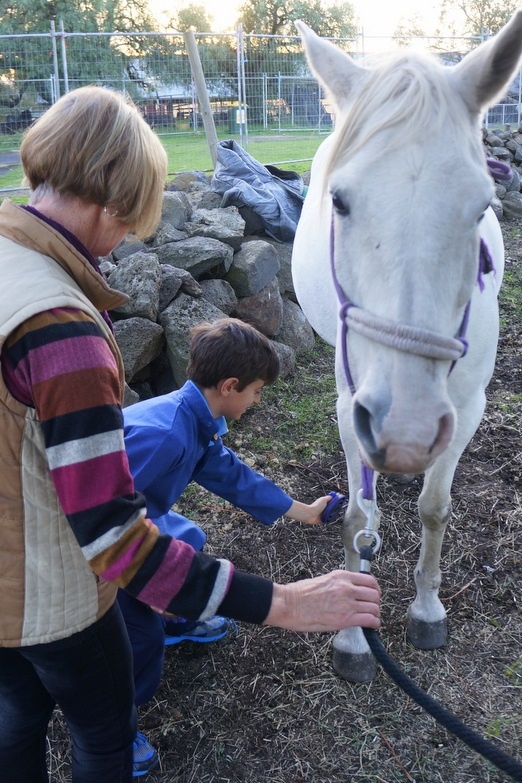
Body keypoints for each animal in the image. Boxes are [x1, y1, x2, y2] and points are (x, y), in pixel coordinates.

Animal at [290, 10, 520, 680]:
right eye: (339, 201)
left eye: (482, 205)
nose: (408, 431)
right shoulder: (352, 404)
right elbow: (357, 515)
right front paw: (352, 636)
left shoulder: (466, 408)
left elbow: (435, 506)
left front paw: (426, 608)